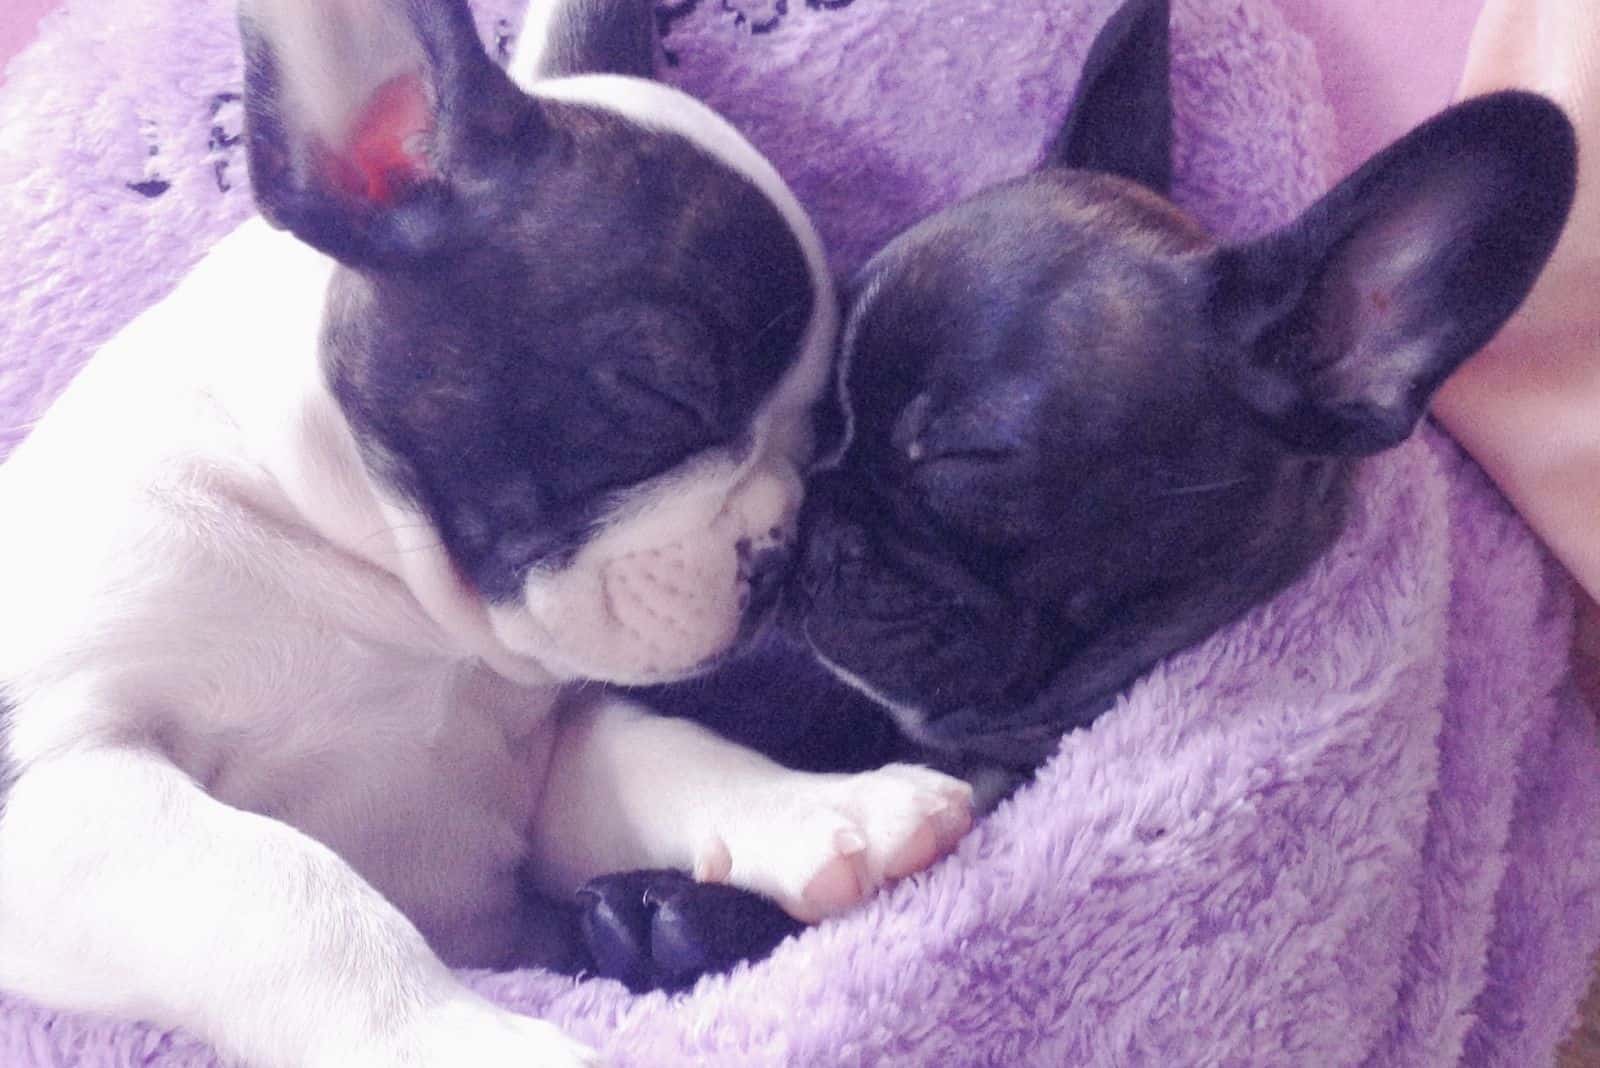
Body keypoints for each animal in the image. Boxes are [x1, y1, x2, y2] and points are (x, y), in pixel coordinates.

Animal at [0, 2, 966, 1068]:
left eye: (818, 434)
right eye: (661, 394)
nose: (781, 551)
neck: (378, 583)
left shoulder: (533, 765)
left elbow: (660, 753)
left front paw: (824, 807)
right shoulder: (70, 781)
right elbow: (288, 889)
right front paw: (457, 1036)